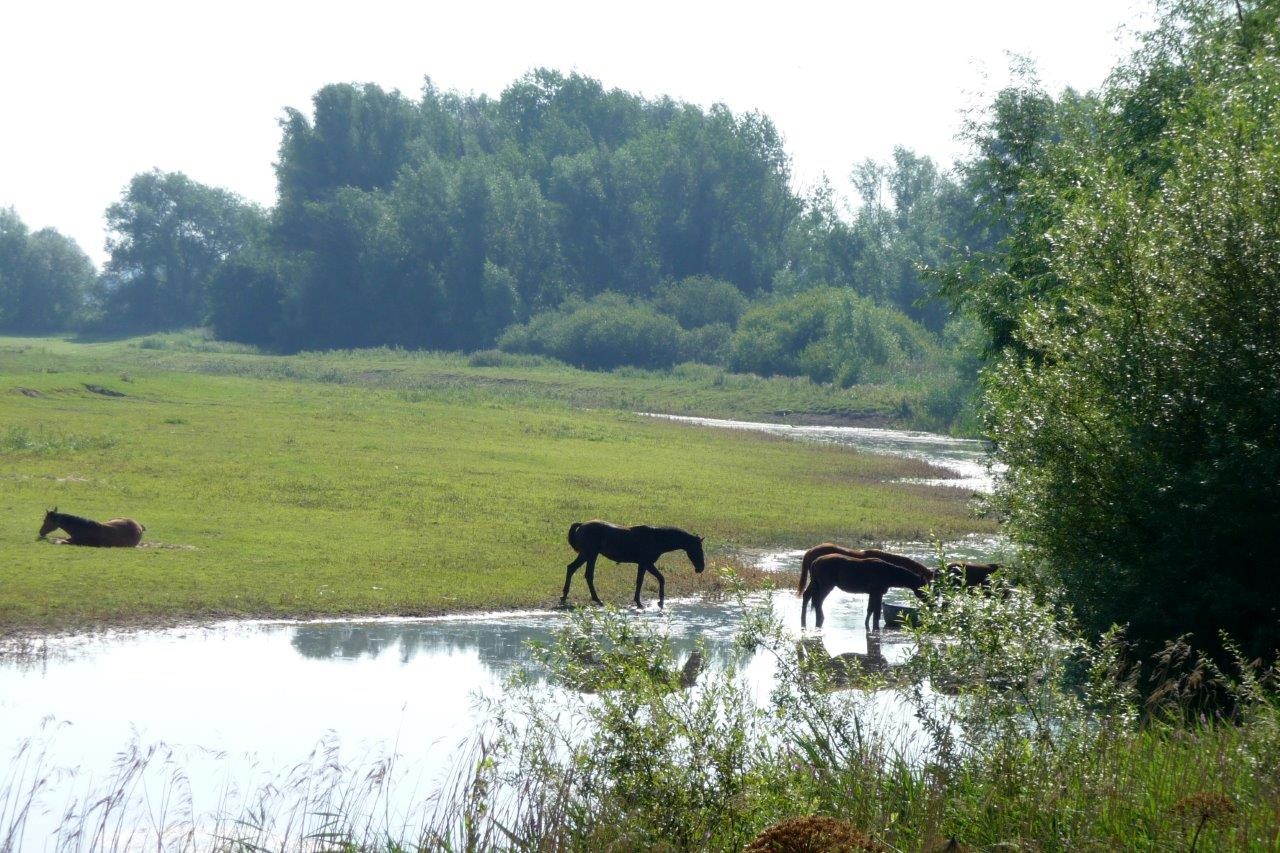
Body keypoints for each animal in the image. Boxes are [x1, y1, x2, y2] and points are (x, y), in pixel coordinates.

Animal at [562, 520, 705, 609]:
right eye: (698, 549)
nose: (701, 568)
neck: (656, 538)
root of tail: (582, 525)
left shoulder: (643, 564)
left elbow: (644, 581)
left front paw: (645, 601)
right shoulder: (646, 563)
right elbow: (656, 579)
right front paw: (655, 602)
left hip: (588, 555)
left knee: (573, 569)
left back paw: (566, 596)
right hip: (590, 555)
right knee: (586, 574)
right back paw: (595, 599)